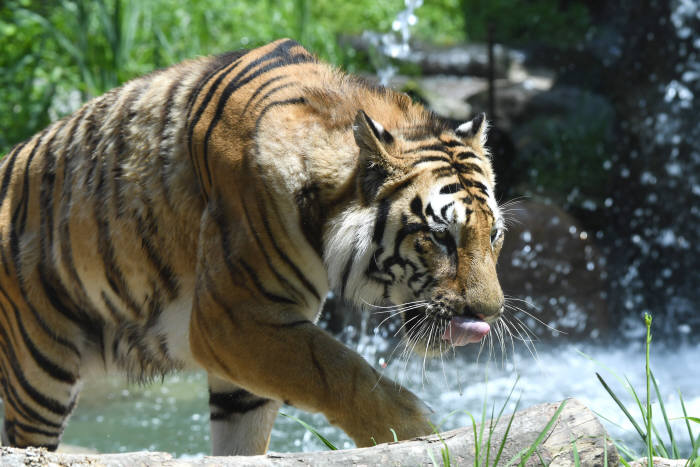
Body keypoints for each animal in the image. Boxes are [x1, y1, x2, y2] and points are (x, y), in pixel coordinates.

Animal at [0, 40, 506, 458]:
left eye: (494, 236)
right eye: (440, 237)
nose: (491, 313)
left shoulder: (246, 364)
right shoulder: (231, 318)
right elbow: (340, 369)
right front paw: (417, 433)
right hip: (38, 374)